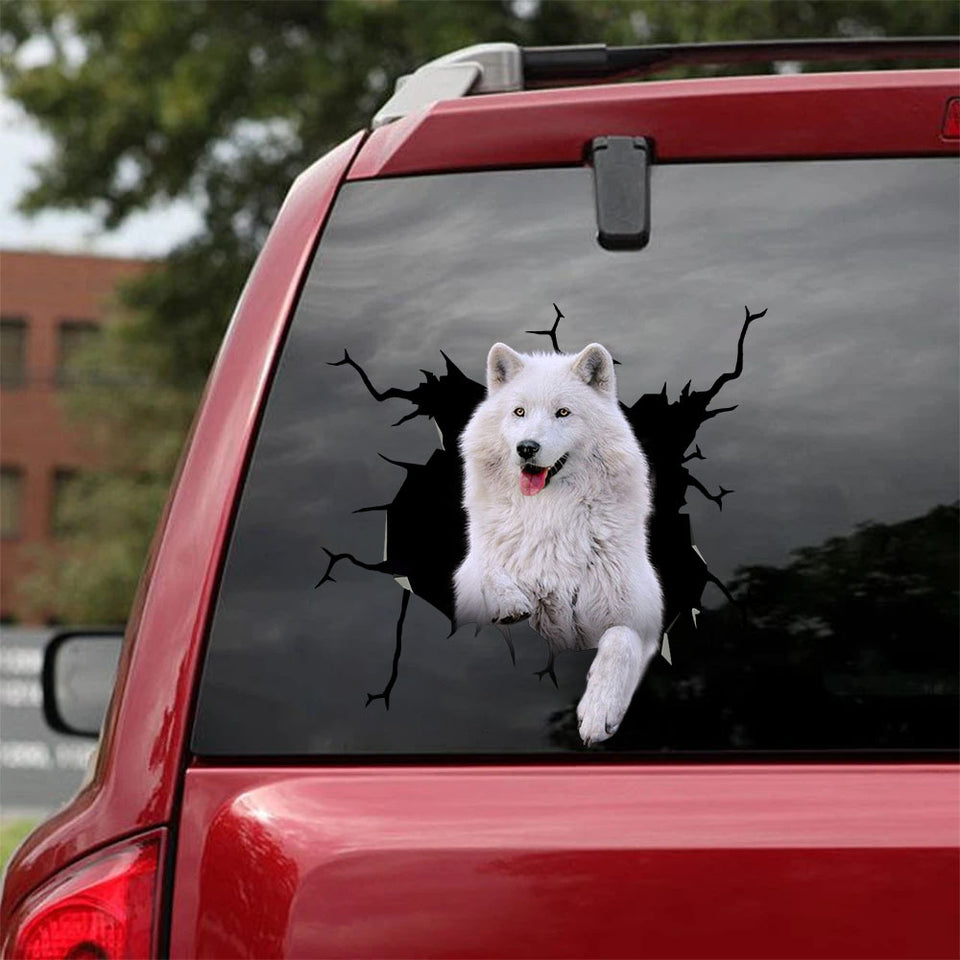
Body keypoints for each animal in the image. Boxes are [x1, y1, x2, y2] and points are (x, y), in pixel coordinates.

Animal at [454, 342, 663, 745]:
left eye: (562, 412)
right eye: (519, 411)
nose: (526, 448)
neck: (549, 516)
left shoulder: (641, 620)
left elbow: (619, 640)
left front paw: (599, 712)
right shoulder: (474, 570)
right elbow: (485, 566)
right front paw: (509, 601)